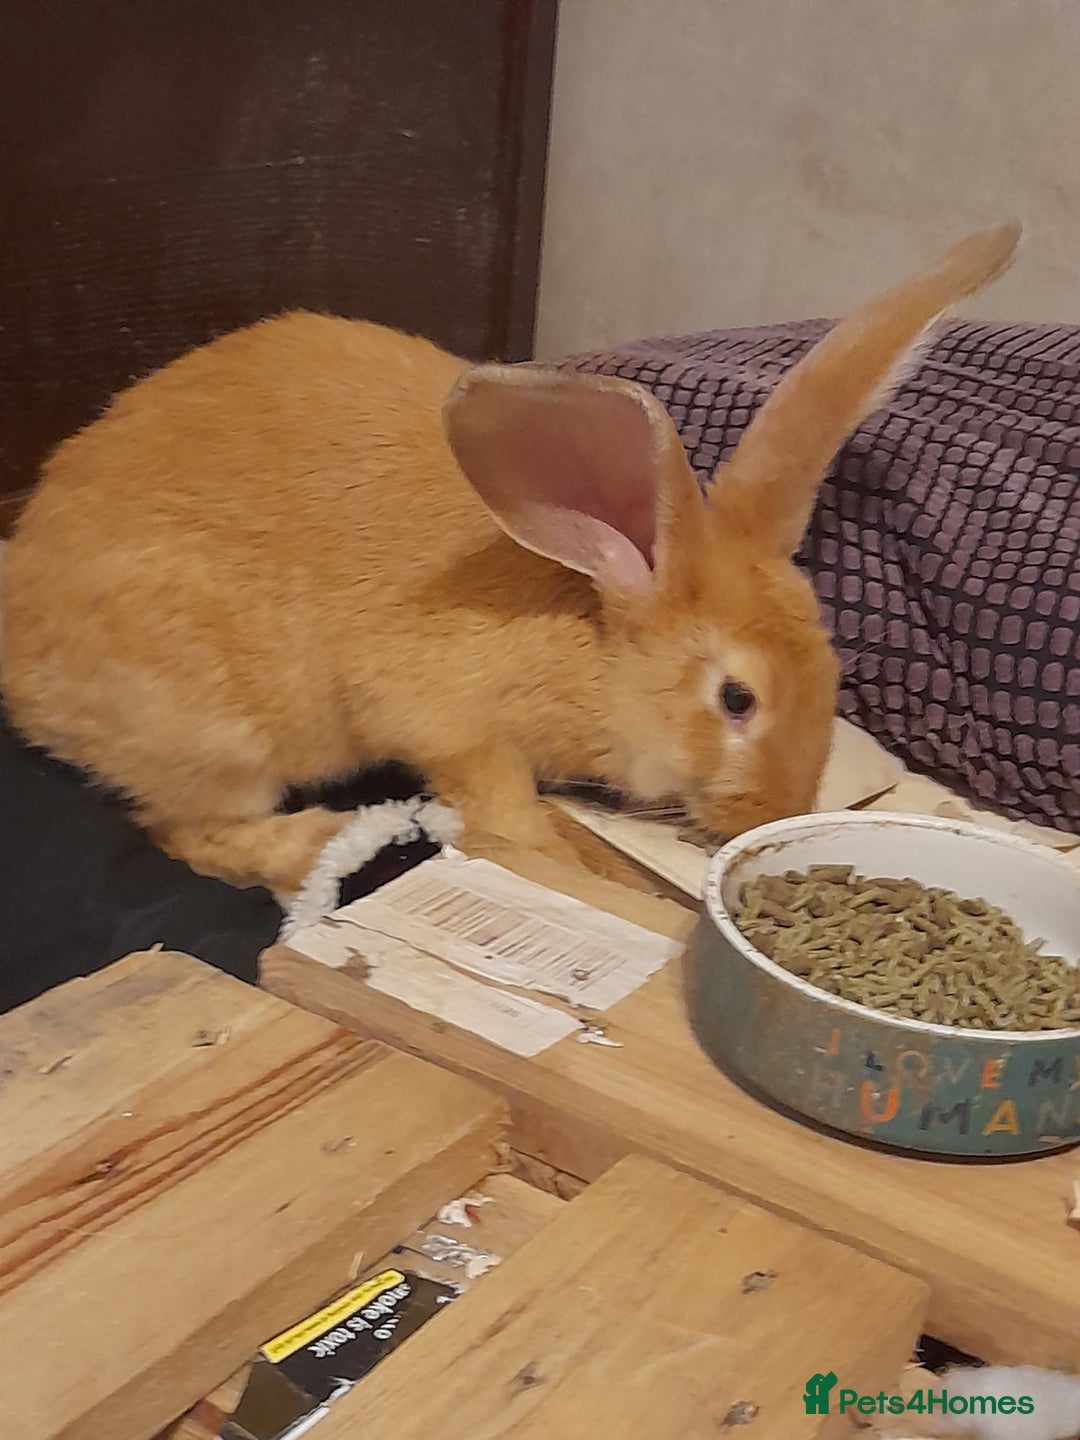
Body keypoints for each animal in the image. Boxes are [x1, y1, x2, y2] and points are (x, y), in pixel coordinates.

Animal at [0, 223, 1020, 896]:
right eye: (737, 700)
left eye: (832, 670)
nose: (769, 815)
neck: (592, 626)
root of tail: (20, 648)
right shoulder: (442, 714)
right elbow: (498, 798)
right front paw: (560, 856)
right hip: (218, 731)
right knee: (190, 831)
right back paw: (316, 843)